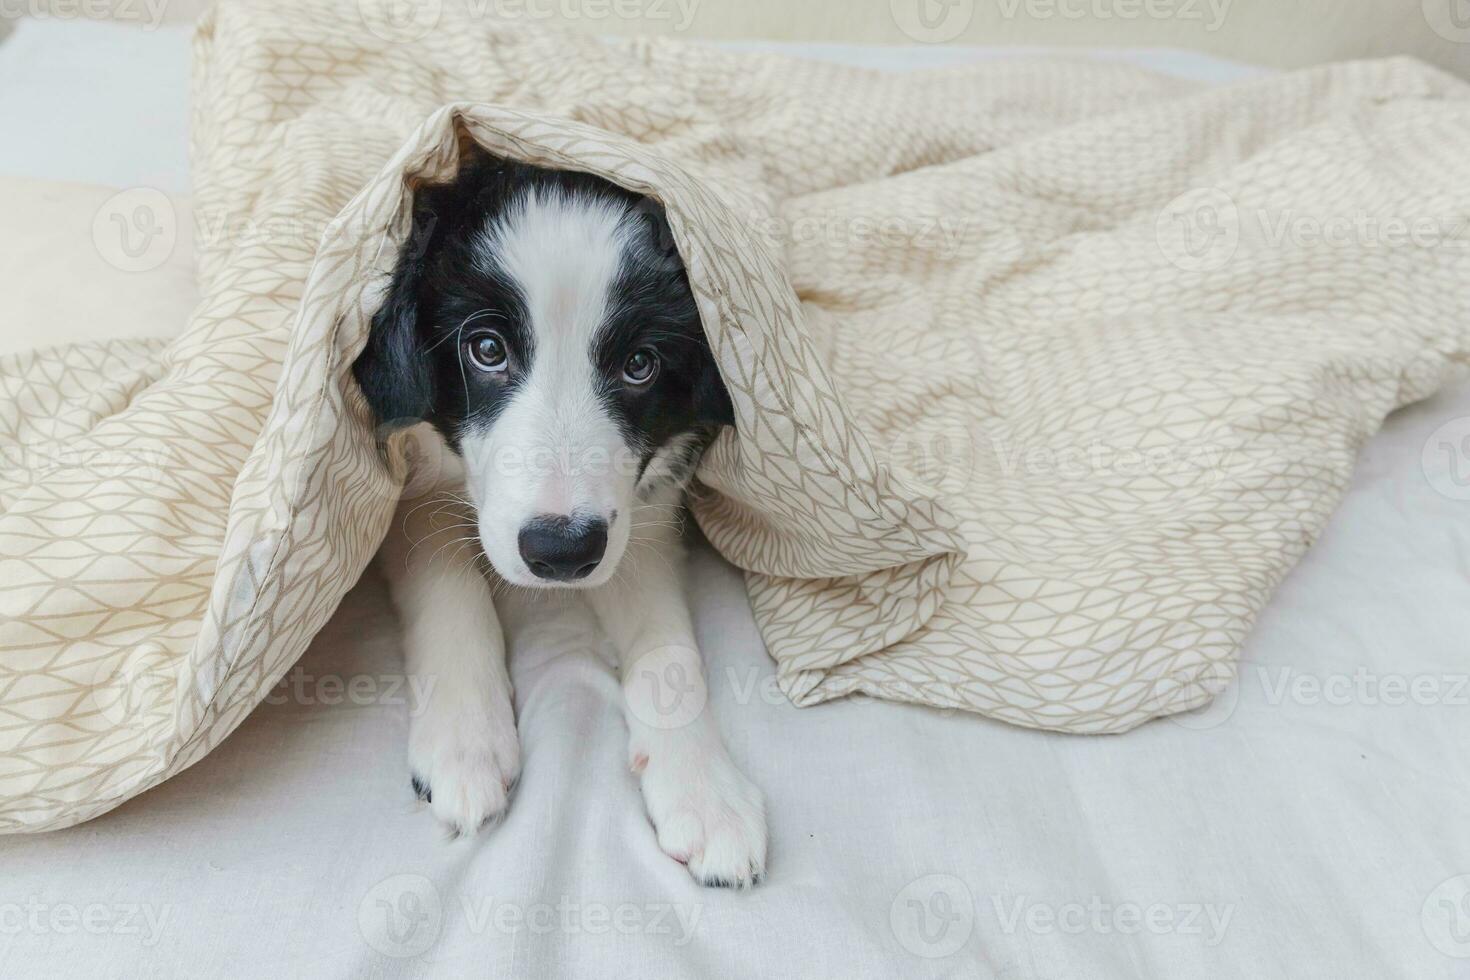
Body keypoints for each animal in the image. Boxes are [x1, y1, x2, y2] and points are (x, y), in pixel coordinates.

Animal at [352, 153, 770, 887]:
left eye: (640, 364)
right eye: (486, 349)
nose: (562, 552)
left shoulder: (636, 514)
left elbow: (668, 645)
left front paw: (705, 788)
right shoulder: (403, 469)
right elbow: (446, 573)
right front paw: (465, 739)